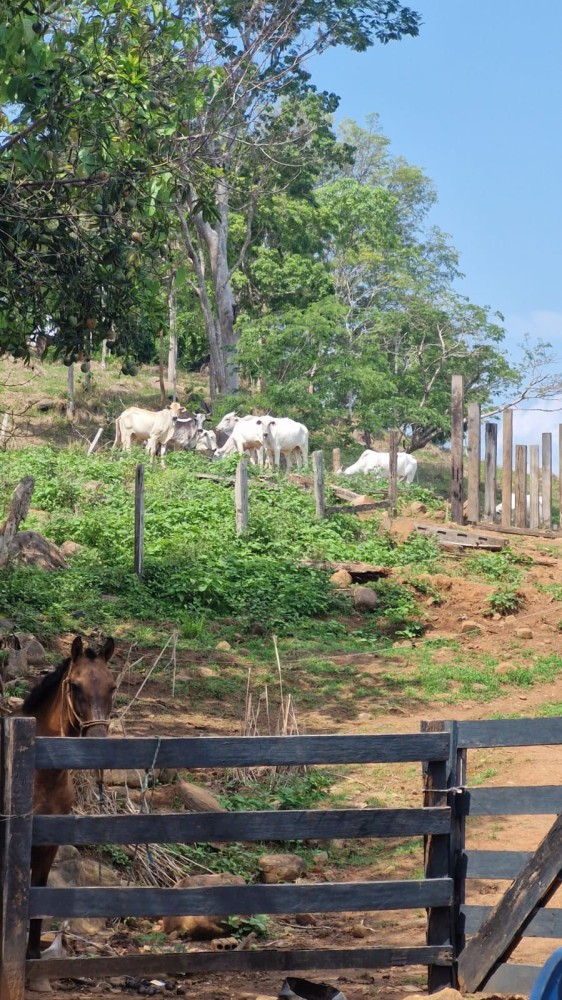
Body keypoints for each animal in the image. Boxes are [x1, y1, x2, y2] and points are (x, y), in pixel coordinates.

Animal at [21, 632, 116, 968]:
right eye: (75, 686)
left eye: (112, 686)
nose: (99, 744)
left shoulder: (47, 845)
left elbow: (38, 897)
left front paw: (33, 955)